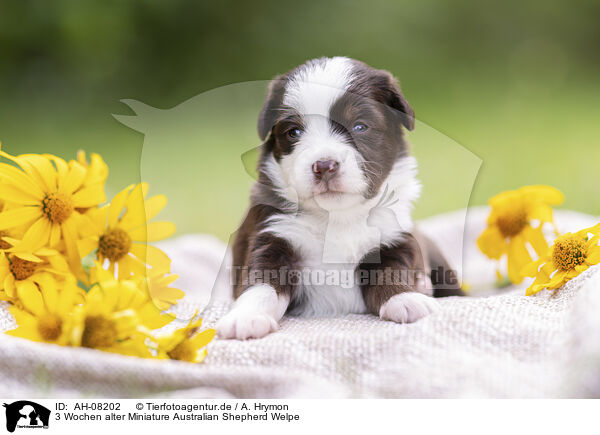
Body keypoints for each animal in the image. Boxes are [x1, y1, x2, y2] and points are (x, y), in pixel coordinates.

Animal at [217, 56, 464, 340]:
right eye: (294, 132)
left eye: (359, 126)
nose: (324, 166)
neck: (336, 216)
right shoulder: (271, 236)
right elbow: (260, 283)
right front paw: (245, 317)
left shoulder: (394, 237)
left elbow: (393, 271)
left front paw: (406, 299)